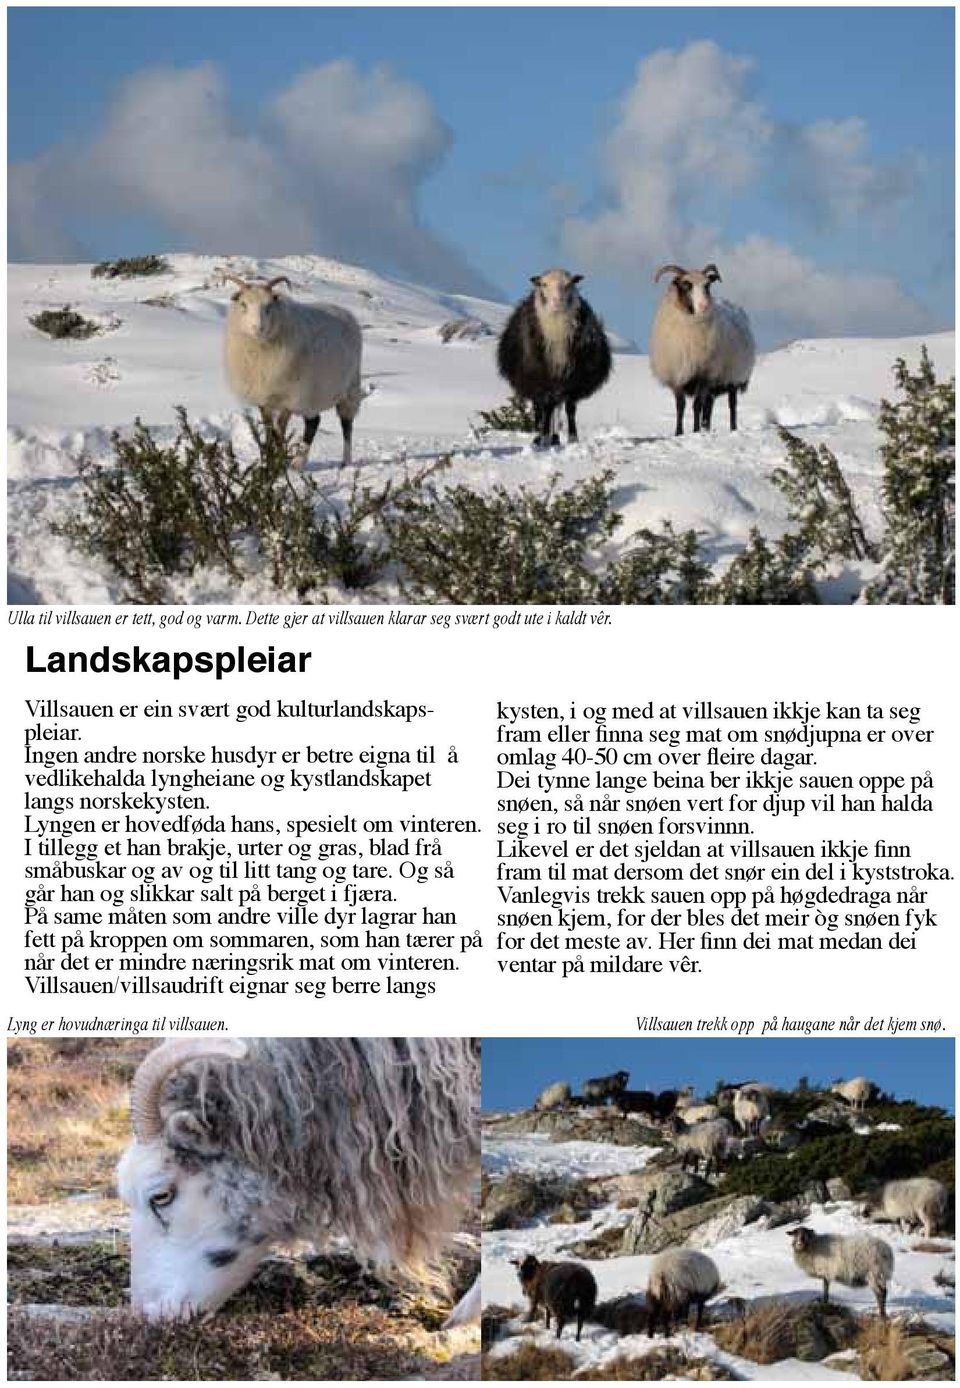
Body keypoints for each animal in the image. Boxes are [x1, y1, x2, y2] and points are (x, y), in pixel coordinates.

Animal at [219, 269, 360, 466]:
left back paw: (344, 461)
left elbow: (279, 432)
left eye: (269, 306)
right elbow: (269, 432)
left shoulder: (289, 397)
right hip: (313, 394)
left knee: (346, 424)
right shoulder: (264, 398)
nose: (258, 328)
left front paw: (278, 463)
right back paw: (300, 462)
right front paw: (267, 461)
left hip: (348, 388)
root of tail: (346, 312)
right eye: (243, 304)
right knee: (314, 421)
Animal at [493, 267, 615, 446]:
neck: (557, 331)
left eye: (569, 284)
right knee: (542, 407)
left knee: (556, 407)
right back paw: (541, 435)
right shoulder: (541, 377)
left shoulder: (572, 379)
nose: (557, 302)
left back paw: (555, 437)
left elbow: (569, 408)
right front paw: (543, 436)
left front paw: (572, 437)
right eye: (544, 284)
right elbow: (546, 407)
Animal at [649, 259, 754, 433]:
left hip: (733, 376)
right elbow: (680, 406)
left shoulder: (704, 374)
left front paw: (695, 431)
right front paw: (679, 432)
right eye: (686, 285)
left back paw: (732, 428)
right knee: (709, 406)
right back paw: (707, 427)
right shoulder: (677, 374)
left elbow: (697, 405)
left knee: (732, 405)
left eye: (707, 285)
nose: (704, 306)